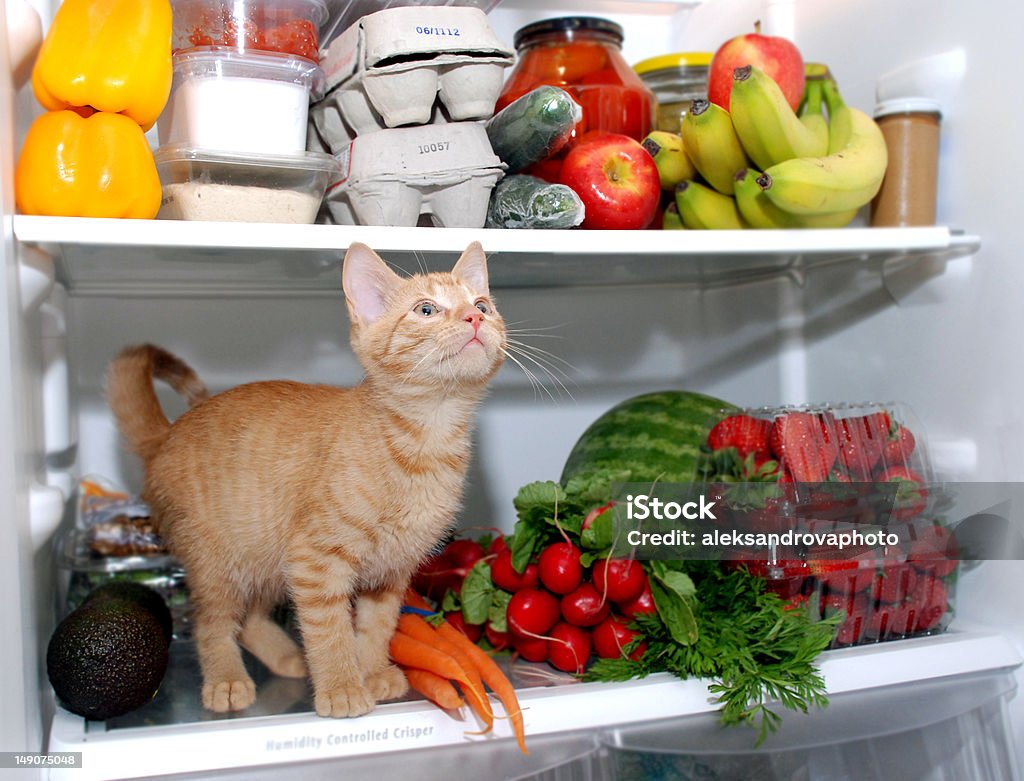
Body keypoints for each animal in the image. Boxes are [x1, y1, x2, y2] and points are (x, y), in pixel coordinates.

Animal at [105, 241, 505, 716]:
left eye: (482, 304)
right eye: (426, 309)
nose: (474, 318)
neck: (427, 439)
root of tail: (165, 435)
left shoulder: (389, 572)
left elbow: (376, 627)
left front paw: (371, 672)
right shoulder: (315, 561)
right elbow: (329, 629)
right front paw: (342, 686)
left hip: (266, 558)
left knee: (249, 618)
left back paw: (285, 657)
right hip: (217, 562)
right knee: (212, 621)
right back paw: (226, 678)